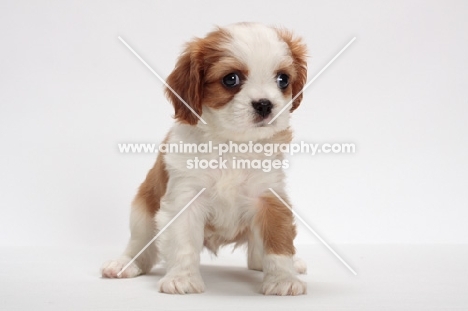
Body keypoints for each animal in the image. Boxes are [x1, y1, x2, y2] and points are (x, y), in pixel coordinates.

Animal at [102, 23, 308, 296]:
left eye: (283, 80)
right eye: (231, 79)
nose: (265, 104)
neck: (232, 143)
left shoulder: (269, 197)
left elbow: (278, 243)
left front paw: (283, 279)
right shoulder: (185, 197)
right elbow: (183, 243)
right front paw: (182, 278)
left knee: (256, 255)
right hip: (142, 210)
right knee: (140, 245)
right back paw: (125, 264)